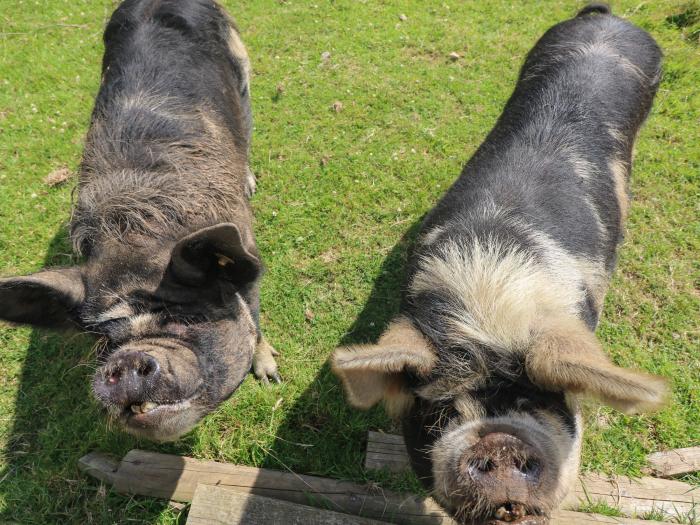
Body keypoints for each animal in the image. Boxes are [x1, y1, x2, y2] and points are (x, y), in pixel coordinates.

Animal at [0, 0, 278, 440]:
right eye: (103, 342)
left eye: (189, 318)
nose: (126, 360)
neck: (139, 243)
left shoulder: (248, 254)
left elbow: (254, 316)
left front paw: (270, 375)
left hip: (242, 66)